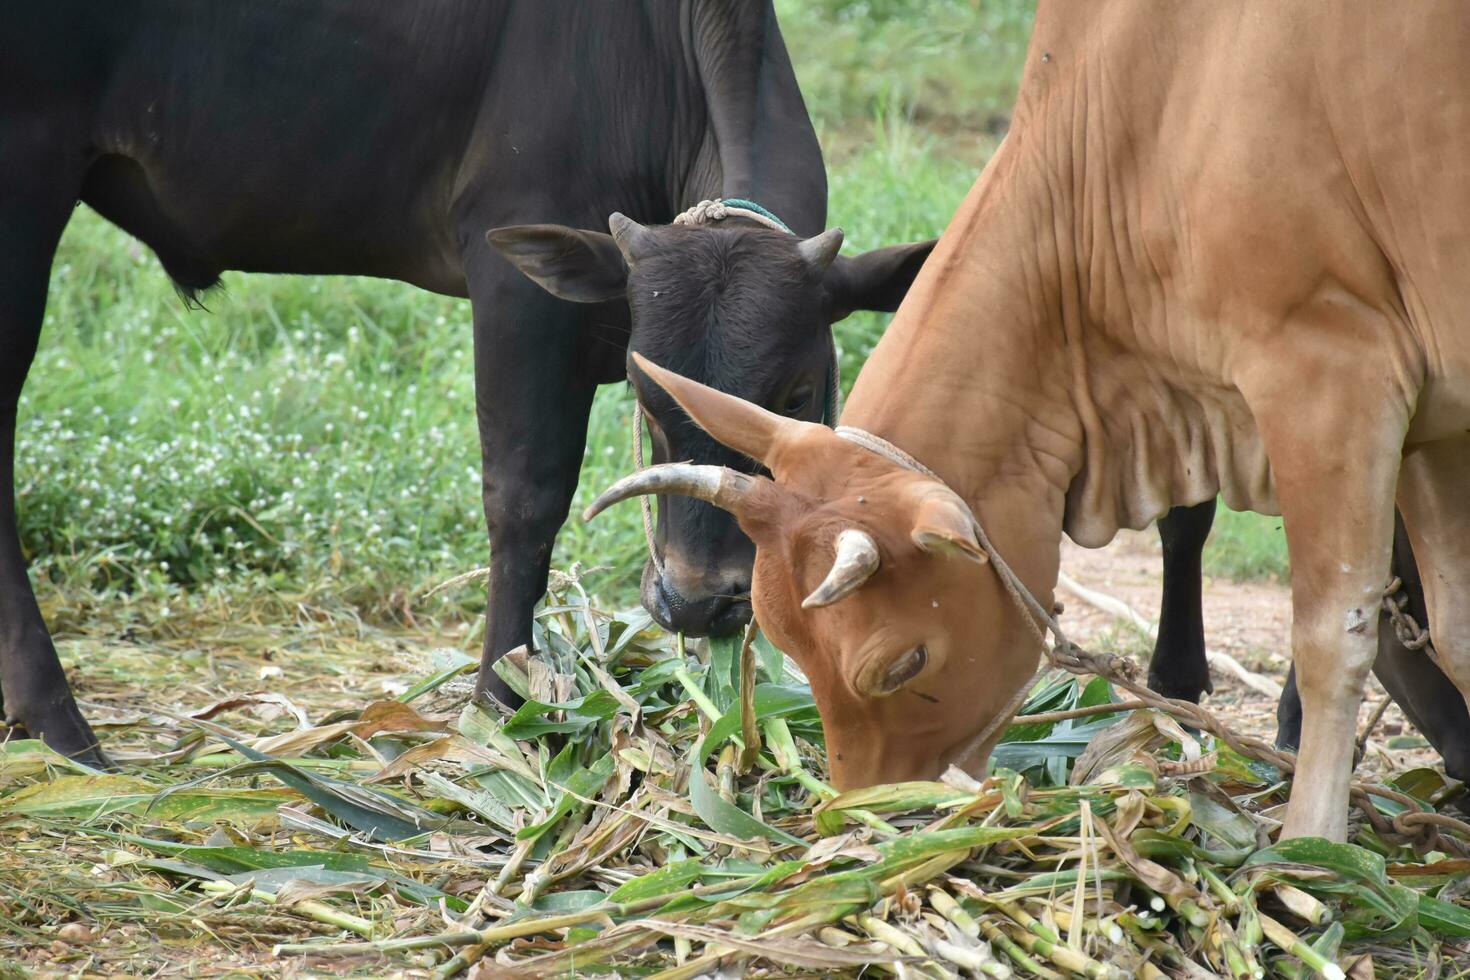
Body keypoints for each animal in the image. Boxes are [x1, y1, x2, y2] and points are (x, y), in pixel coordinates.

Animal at [2, 1, 929, 764]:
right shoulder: (515, 288)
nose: (698, 602)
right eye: (645, 387)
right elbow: (524, 499)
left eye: (797, 395)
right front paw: (502, 700)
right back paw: (59, 724)